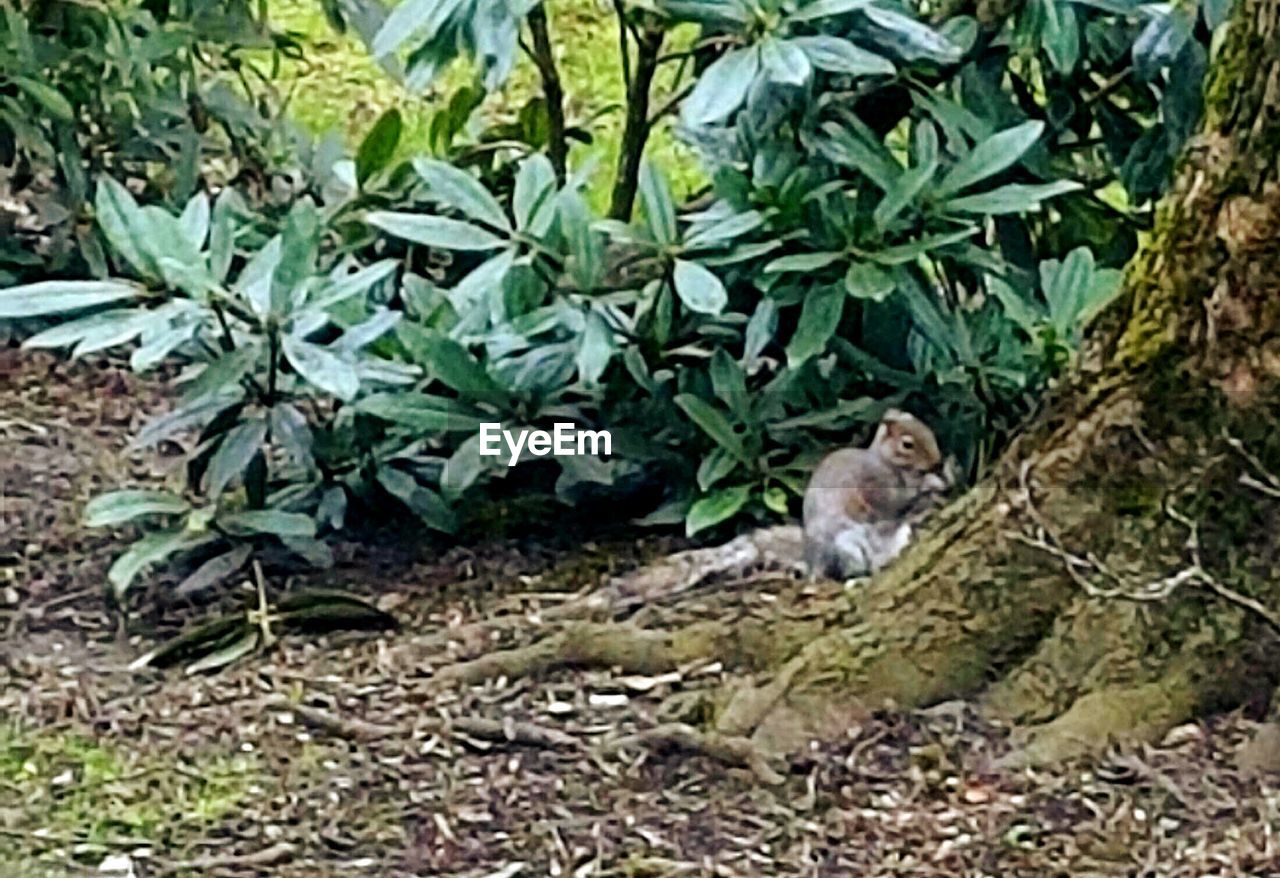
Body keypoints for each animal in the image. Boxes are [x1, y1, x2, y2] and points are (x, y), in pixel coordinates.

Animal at [803, 412, 957, 583]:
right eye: (907, 444)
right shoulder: (876, 485)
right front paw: (929, 484)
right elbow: (898, 501)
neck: (884, 459)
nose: (937, 462)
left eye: (928, 430)